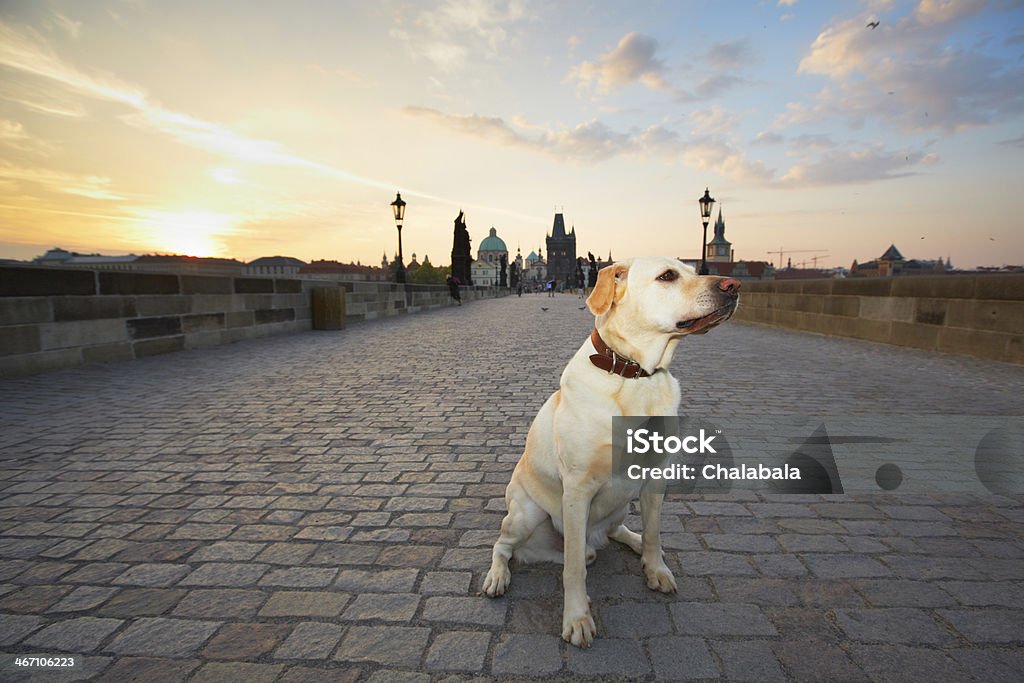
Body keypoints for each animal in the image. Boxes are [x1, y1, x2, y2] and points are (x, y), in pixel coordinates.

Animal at [483, 254, 741, 647]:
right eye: (667, 276)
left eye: (696, 271)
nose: (734, 286)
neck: (635, 375)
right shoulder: (577, 490)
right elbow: (573, 568)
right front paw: (577, 617)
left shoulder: (655, 479)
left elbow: (654, 533)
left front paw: (655, 568)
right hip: (525, 514)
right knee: (505, 546)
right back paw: (498, 576)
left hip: (620, 505)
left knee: (617, 533)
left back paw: (634, 546)